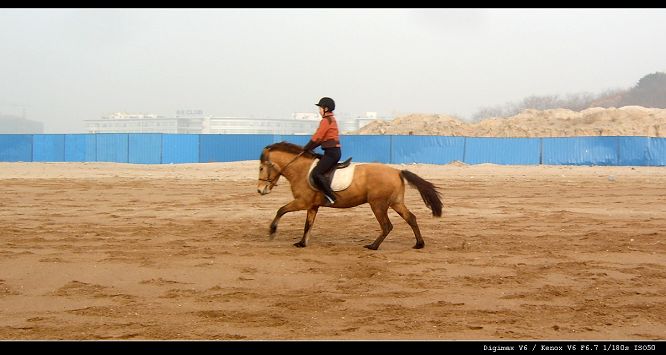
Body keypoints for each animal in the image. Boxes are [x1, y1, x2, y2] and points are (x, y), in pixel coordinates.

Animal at [255, 142, 440, 250]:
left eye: (261, 168)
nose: (260, 190)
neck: (301, 170)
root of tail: (397, 171)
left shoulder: (302, 202)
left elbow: (281, 210)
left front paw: (272, 231)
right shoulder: (312, 206)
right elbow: (308, 224)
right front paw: (302, 243)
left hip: (378, 205)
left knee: (387, 226)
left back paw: (373, 246)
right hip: (395, 203)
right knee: (411, 218)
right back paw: (419, 244)